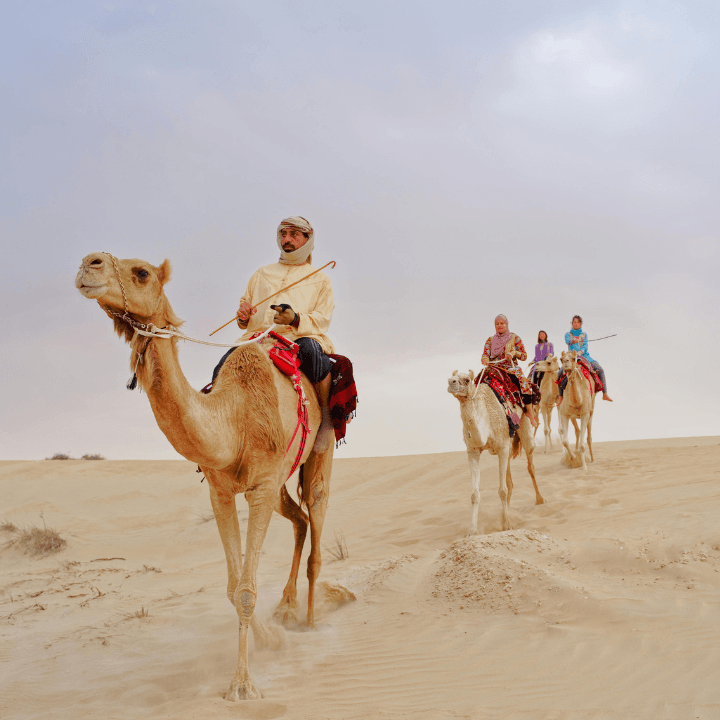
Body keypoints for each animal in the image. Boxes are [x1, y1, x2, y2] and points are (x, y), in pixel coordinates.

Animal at [75, 252, 336, 701]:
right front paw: (268, 640)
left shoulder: (260, 488)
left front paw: (242, 685)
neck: (233, 419)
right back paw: (286, 608)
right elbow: (233, 588)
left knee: (316, 516)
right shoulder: (222, 490)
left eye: (141, 272)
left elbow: (246, 590)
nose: (87, 264)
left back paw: (309, 619)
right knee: (300, 520)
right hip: (280, 478)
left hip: (320, 450)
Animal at [447, 370, 544, 534]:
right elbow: (475, 494)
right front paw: (472, 531)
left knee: (530, 463)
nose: (451, 382)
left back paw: (539, 499)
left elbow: (502, 490)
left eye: (466, 380)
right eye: (450, 378)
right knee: (510, 481)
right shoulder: (473, 451)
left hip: (525, 425)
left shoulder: (502, 446)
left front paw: (507, 526)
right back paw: (505, 514)